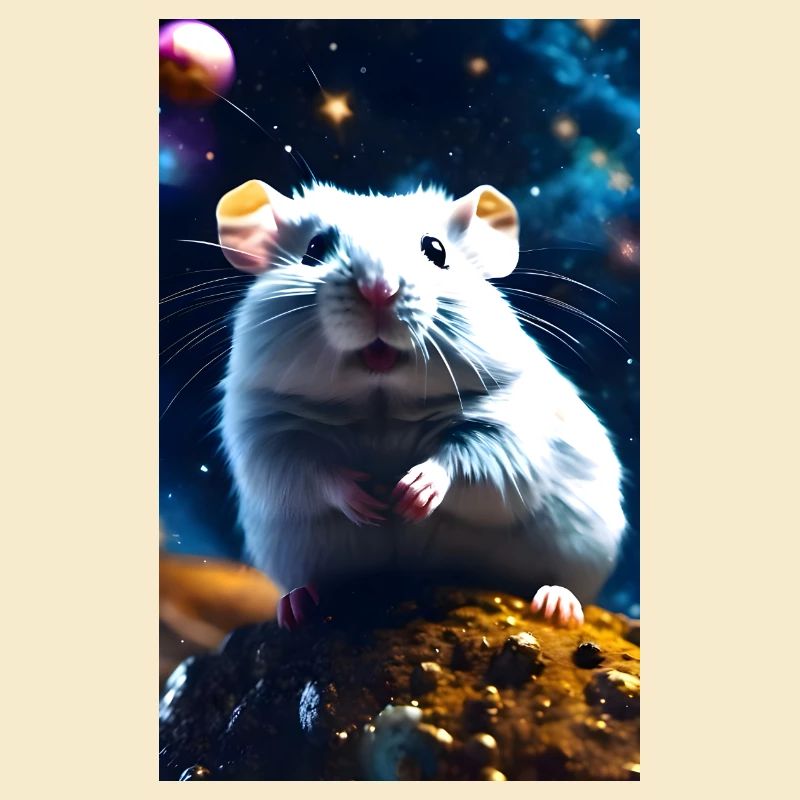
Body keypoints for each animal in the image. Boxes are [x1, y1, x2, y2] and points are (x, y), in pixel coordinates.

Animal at [215, 178, 626, 630]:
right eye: (313, 249)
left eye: (436, 250)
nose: (379, 290)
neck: (379, 399)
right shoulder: (268, 429)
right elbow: (304, 471)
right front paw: (365, 500)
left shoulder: (504, 420)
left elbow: (474, 462)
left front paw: (413, 491)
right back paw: (298, 602)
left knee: (568, 585)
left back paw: (556, 602)